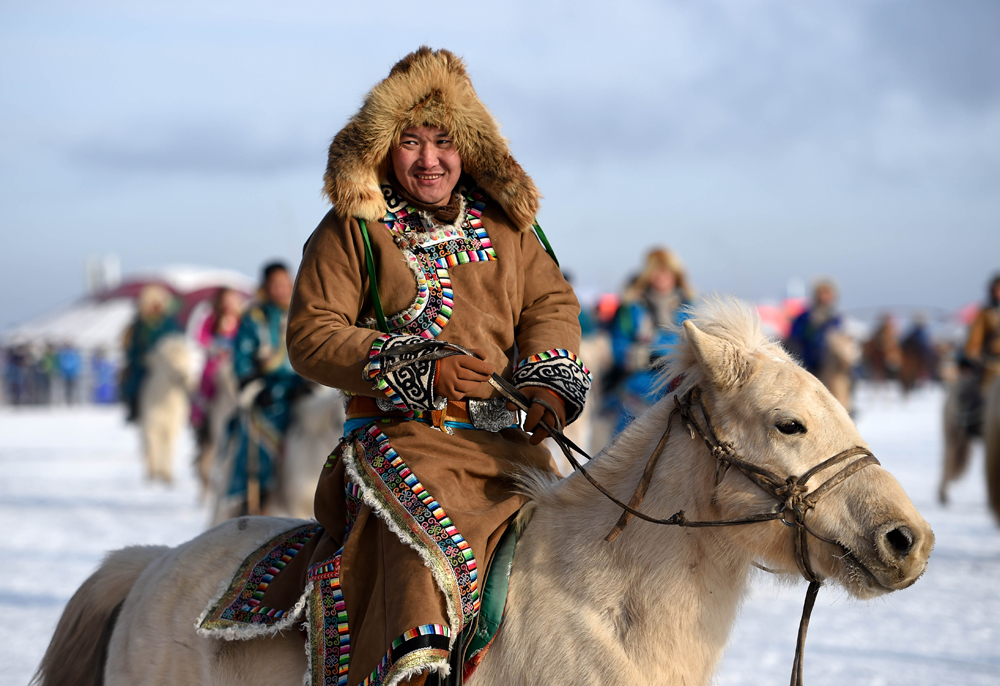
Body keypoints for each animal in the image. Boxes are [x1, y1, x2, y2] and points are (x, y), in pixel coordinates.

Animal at [138, 336, 198, 486]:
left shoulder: (171, 427)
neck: (165, 405)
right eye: (168, 363)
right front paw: (153, 475)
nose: (183, 377)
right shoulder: (151, 425)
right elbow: (153, 447)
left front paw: (167, 477)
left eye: (186, 362)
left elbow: (167, 450)